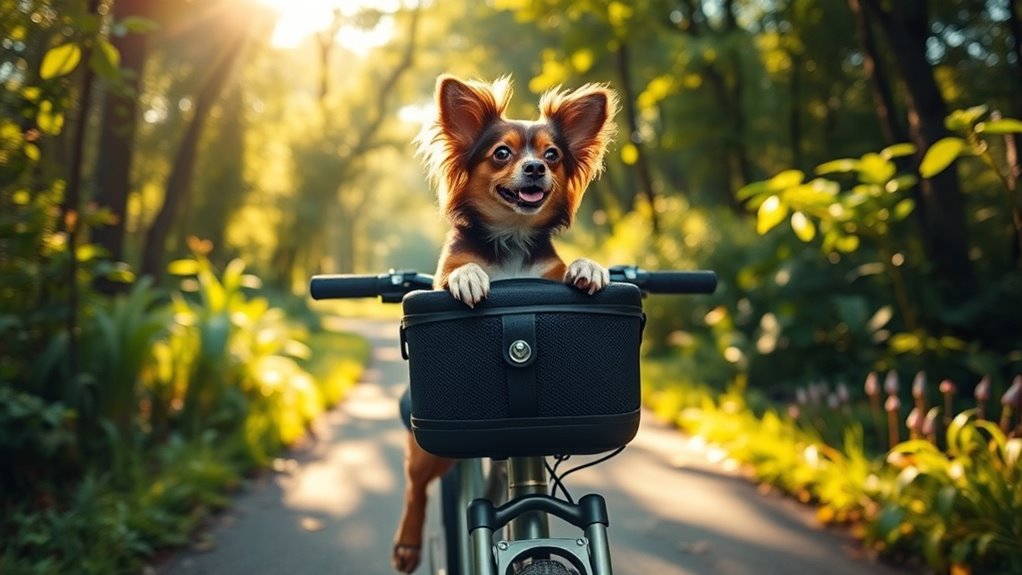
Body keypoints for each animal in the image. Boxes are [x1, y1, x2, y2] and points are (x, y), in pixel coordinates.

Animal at [388, 76, 613, 575]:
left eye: (552, 155)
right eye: (502, 154)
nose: (535, 168)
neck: (511, 236)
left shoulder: (547, 276)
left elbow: (572, 270)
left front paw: (591, 267)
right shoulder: (440, 277)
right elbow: (457, 273)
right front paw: (470, 278)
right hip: (431, 453)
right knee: (415, 488)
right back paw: (407, 543)